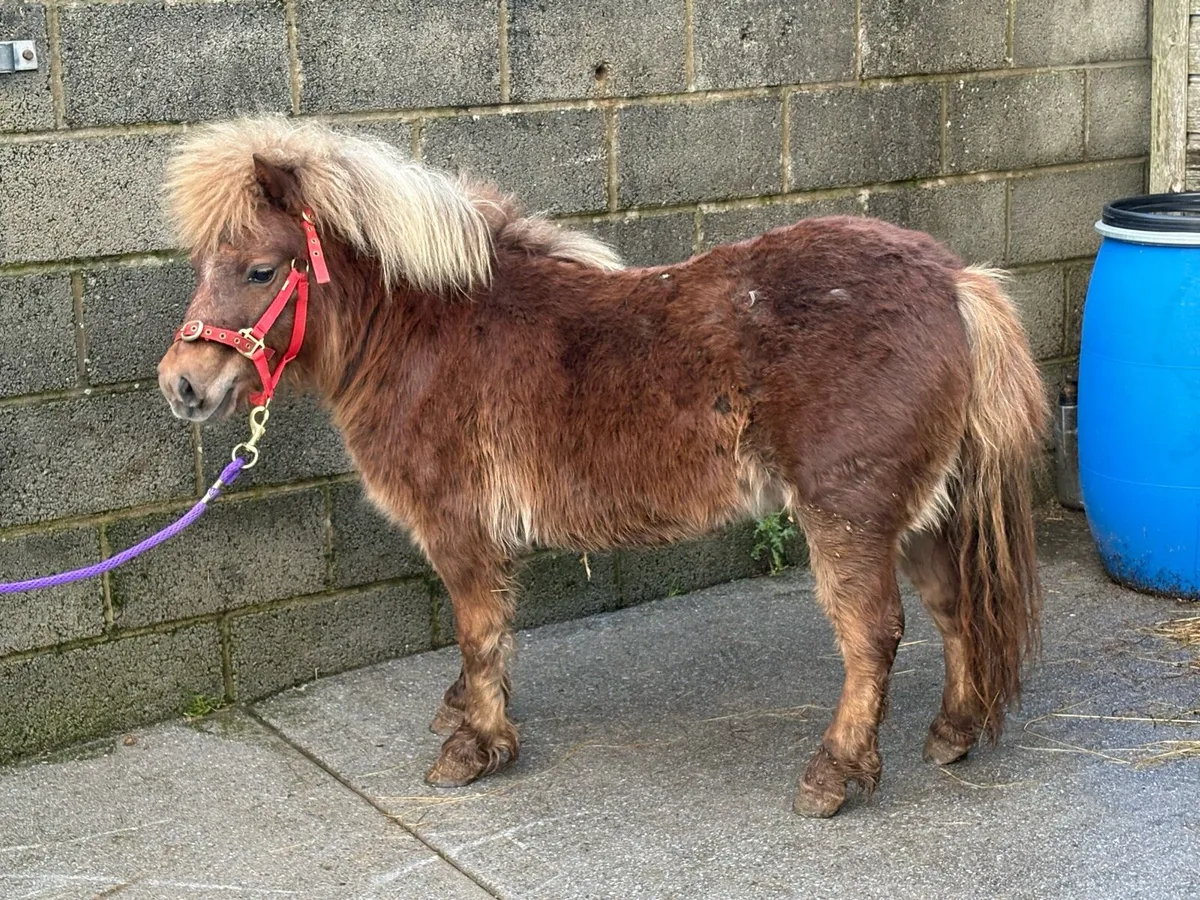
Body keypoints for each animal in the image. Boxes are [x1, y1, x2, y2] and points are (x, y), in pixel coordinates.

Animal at [157, 117, 1046, 818]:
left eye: (260, 269)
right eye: (205, 266)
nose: (182, 386)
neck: (428, 333)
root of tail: (955, 282)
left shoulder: (458, 529)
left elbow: (478, 632)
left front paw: (474, 748)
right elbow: (494, 633)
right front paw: (466, 714)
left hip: (849, 518)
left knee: (872, 635)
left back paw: (834, 775)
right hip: (924, 513)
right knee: (955, 610)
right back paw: (952, 734)